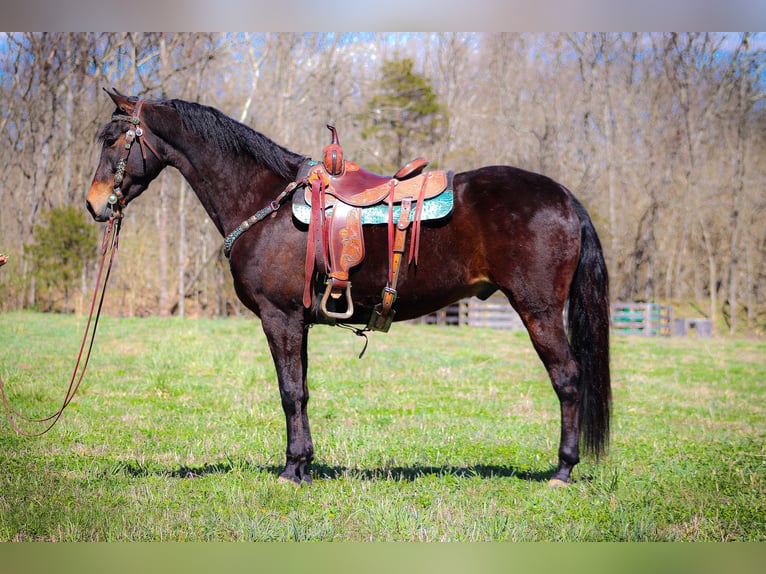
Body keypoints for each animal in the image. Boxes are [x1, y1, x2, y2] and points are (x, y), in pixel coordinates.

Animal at [87, 92, 612, 488]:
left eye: (113, 140)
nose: (95, 205)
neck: (266, 201)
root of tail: (566, 198)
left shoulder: (279, 317)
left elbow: (289, 392)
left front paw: (292, 471)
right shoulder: (297, 322)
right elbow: (301, 390)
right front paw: (303, 464)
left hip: (538, 309)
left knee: (567, 378)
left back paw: (563, 470)